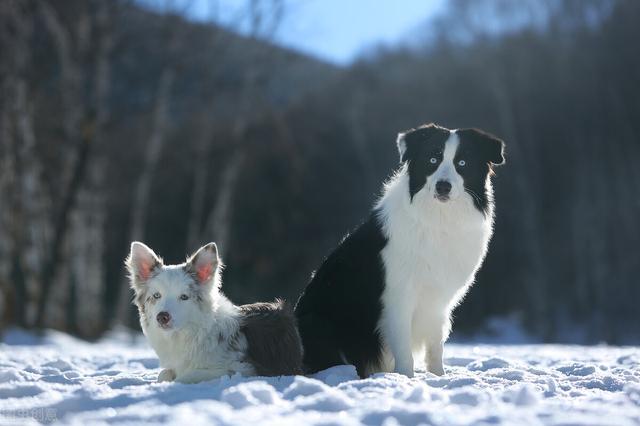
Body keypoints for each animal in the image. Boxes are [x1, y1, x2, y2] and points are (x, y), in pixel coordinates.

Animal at [127, 241, 304, 384]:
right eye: (157, 295)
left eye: (184, 297)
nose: (162, 317)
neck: (193, 333)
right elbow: (163, 374)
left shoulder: (244, 368)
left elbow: (186, 377)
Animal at [294, 122, 504, 376]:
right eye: (432, 159)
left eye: (462, 163)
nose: (443, 186)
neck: (439, 219)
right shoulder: (398, 295)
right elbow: (404, 348)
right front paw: (406, 377)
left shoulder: (438, 300)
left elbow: (436, 347)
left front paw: (438, 377)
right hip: (316, 322)